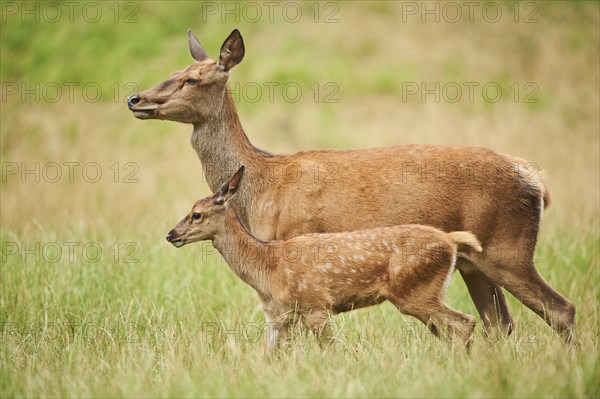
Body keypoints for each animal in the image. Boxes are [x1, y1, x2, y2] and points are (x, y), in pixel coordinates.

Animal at [130, 28, 576, 342]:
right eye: (171, 73)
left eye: (192, 79)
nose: (135, 98)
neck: (260, 186)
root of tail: (536, 180)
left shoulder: (293, 248)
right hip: (473, 262)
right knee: (499, 324)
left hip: (508, 248)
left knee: (560, 311)